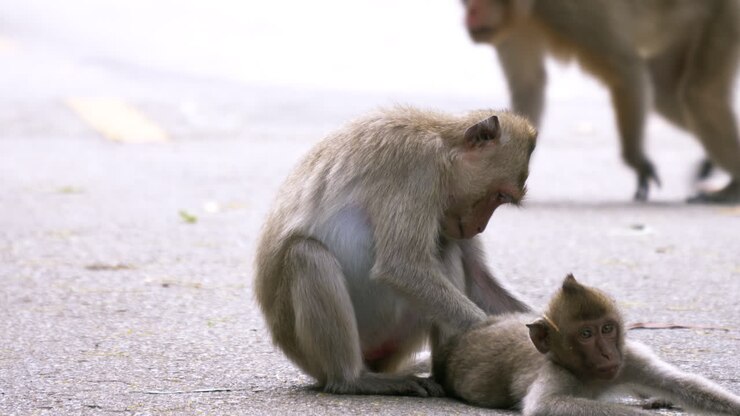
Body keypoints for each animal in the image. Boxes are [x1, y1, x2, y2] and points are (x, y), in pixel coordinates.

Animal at [254, 106, 537, 396]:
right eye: (500, 196)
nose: (480, 227)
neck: (444, 147)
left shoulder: (449, 212)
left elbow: (480, 281)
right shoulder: (418, 171)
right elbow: (400, 266)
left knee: (445, 247)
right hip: (315, 351)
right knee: (307, 255)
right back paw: (352, 379)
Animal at [437, 274, 740, 415]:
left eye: (606, 329)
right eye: (585, 334)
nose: (606, 353)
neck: (591, 377)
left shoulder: (628, 359)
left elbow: (678, 383)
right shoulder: (554, 372)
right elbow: (544, 405)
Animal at [462, 0, 740, 203]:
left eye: (477, 4)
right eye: (467, 4)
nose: (468, 17)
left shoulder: (567, 13)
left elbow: (626, 70)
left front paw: (636, 160)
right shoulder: (516, 28)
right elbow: (529, 85)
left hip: (724, 12)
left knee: (697, 95)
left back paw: (732, 188)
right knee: (665, 90)